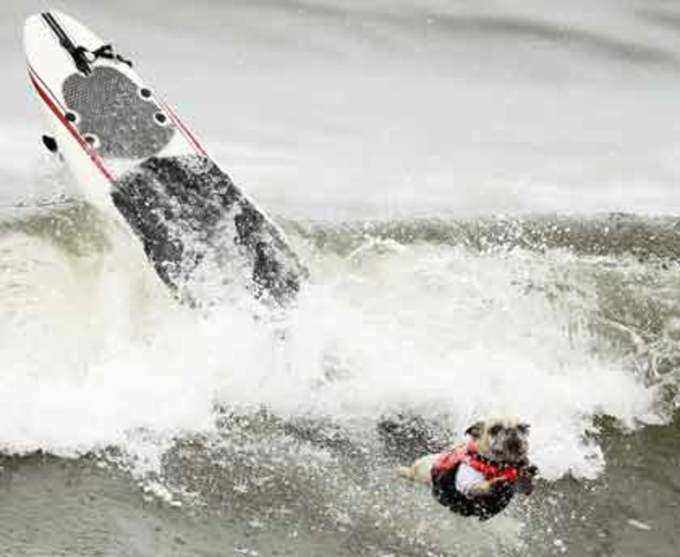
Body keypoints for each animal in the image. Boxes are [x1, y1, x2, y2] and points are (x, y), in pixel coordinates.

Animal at [398, 414, 536, 520]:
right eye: (495, 429)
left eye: (522, 428)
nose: (511, 430)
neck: (499, 465)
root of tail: (412, 469)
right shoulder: (468, 484)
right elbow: (477, 487)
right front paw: (496, 484)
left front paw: (527, 476)